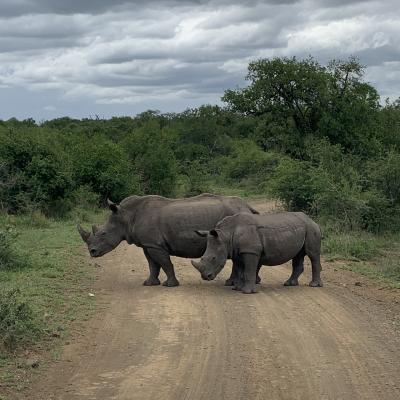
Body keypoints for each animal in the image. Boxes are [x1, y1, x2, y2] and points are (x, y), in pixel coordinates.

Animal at [78, 195, 260, 286]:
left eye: (103, 233)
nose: (92, 252)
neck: (126, 216)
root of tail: (247, 206)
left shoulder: (155, 245)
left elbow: (165, 263)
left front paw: (170, 285)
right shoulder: (148, 244)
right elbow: (152, 265)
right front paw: (149, 283)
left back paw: (233, 283)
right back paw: (247, 282)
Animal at [191, 212, 322, 294]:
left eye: (213, 258)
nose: (205, 277)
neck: (227, 234)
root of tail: (312, 220)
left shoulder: (251, 251)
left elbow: (248, 271)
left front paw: (247, 292)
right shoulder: (238, 252)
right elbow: (240, 270)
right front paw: (237, 288)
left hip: (311, 228)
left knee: (313, 255)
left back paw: (313, 285)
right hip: (302, 228)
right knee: (298, 255)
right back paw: (289, 284)